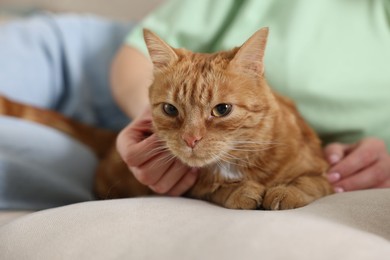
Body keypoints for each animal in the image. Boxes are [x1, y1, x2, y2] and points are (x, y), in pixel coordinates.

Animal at [0, 28, 336, 210]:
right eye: (171, 110)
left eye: (222, 110)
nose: (190, 139)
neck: (238, 160)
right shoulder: (194, 188)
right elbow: (216, 189)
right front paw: (240, 190)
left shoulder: (321, 170)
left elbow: (309, 181)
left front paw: (285, 191)